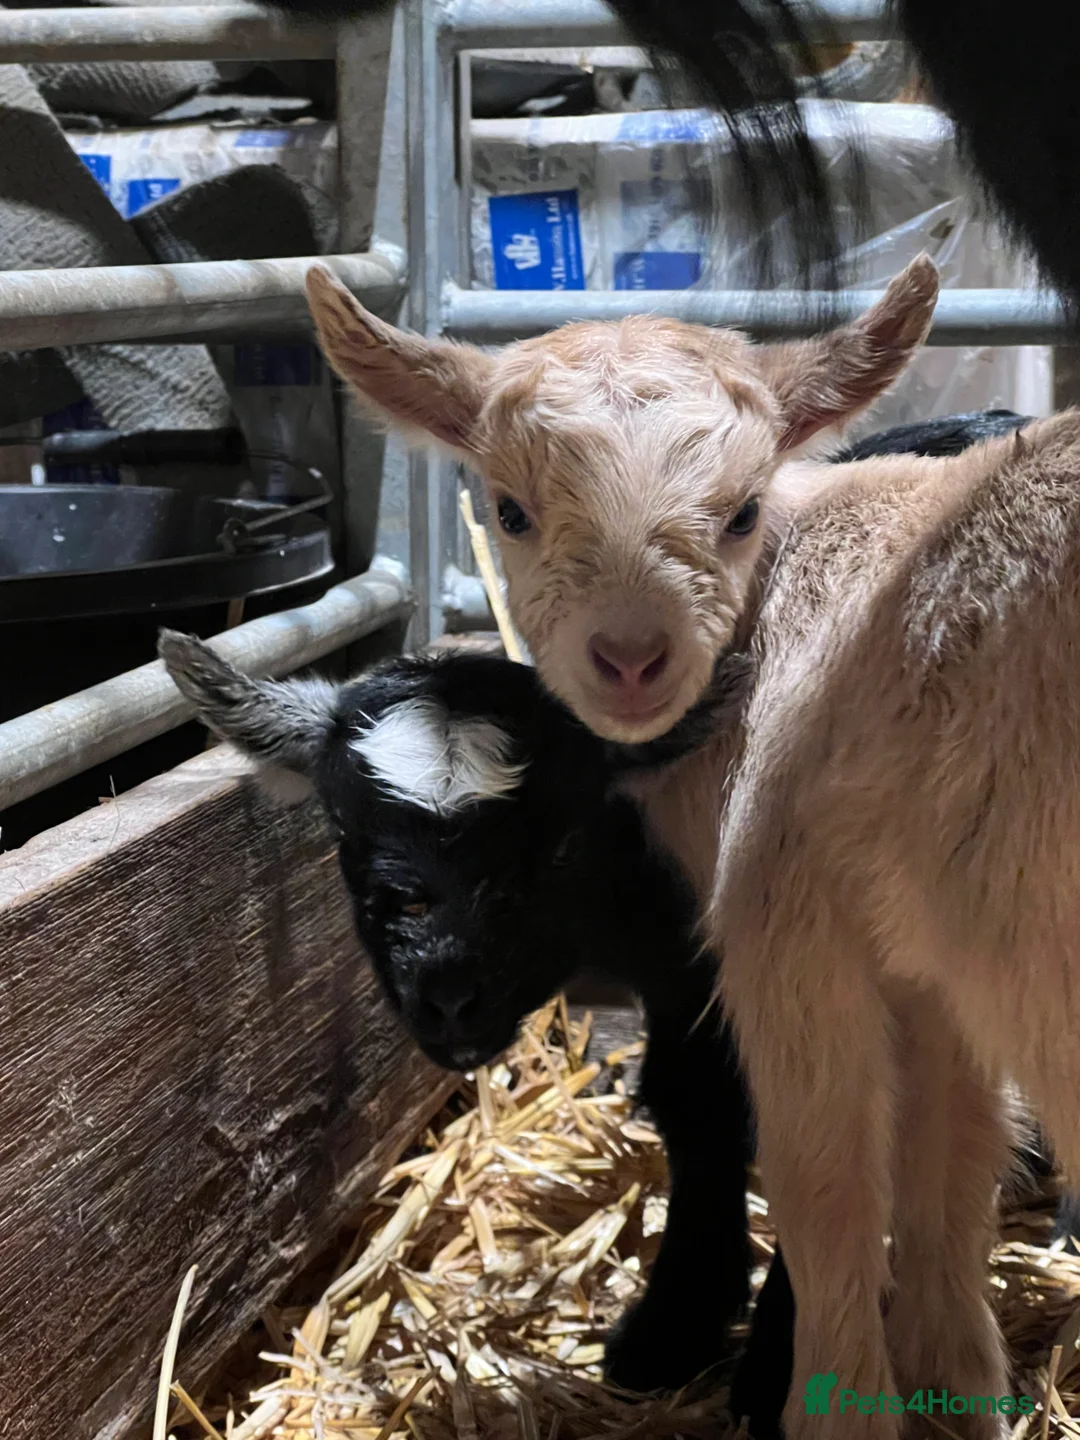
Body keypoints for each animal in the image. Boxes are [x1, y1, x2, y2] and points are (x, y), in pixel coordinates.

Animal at [302, 254, 1080, 1438]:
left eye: (745, 510)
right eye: (509, 509)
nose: (632, 657)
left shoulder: (786, 939)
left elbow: (826, 1188)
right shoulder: (929, 976)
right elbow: (945, 1191)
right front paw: (960, 1401)